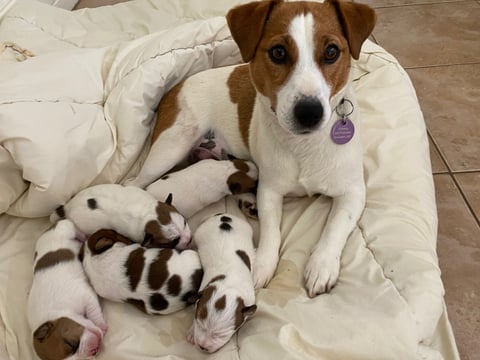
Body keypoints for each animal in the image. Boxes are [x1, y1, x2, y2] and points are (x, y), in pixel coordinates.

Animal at [28, 219, 108, 360]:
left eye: (71, 344)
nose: (91, 351)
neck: (56, 313)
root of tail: (49, 228)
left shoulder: (87, 297)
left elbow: (94, 313)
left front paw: (101, 325)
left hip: (65, 228)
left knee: (72, 227)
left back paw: (82, 237)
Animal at [187, 212, 256, 352]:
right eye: (200, 325)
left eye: (222, 335)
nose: (202, 346)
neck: (229, 284)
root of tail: (223, 215)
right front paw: (192, 332)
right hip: (199, 233)